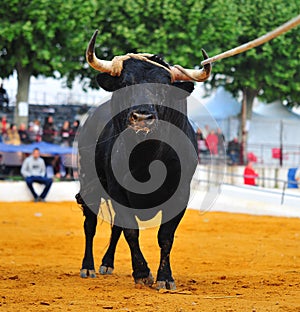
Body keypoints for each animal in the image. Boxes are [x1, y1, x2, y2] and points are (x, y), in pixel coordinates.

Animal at [75, 48, 211, 290]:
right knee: (90, 224)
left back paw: (107, 263)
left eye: (163, 86)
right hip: (88, 181)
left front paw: (165, 278)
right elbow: (131, 230)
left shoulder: (180, 194)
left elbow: (165, 236)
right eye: (125, 84)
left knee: (115, 228)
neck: (147, 158)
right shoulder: (117, 191)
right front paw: (141, 272)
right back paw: (88, 267)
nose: (142, 117)